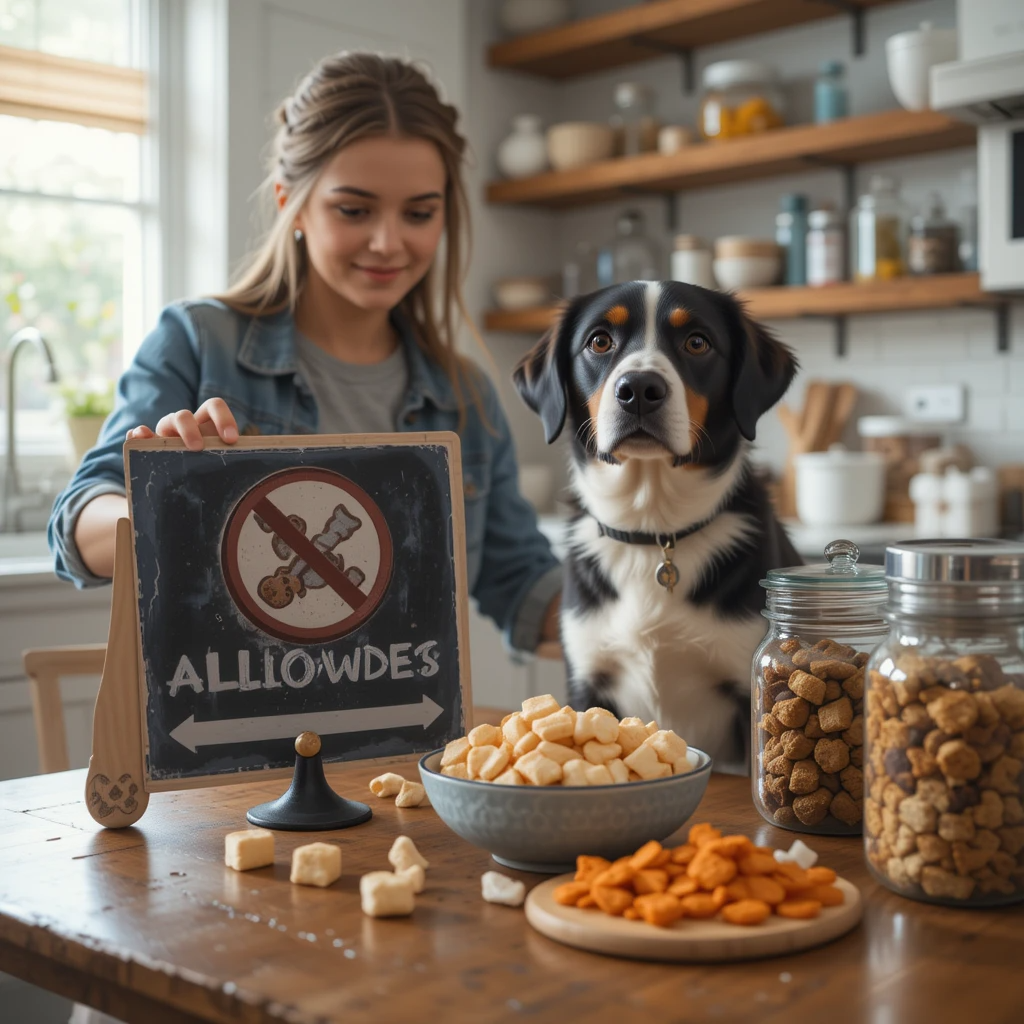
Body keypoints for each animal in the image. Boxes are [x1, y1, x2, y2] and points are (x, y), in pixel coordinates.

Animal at [512, 280, 798, 770]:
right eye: (599, 341)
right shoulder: (588, 682)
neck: (653, 531)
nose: (639, 388)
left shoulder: (748, 690)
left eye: (697, 342)